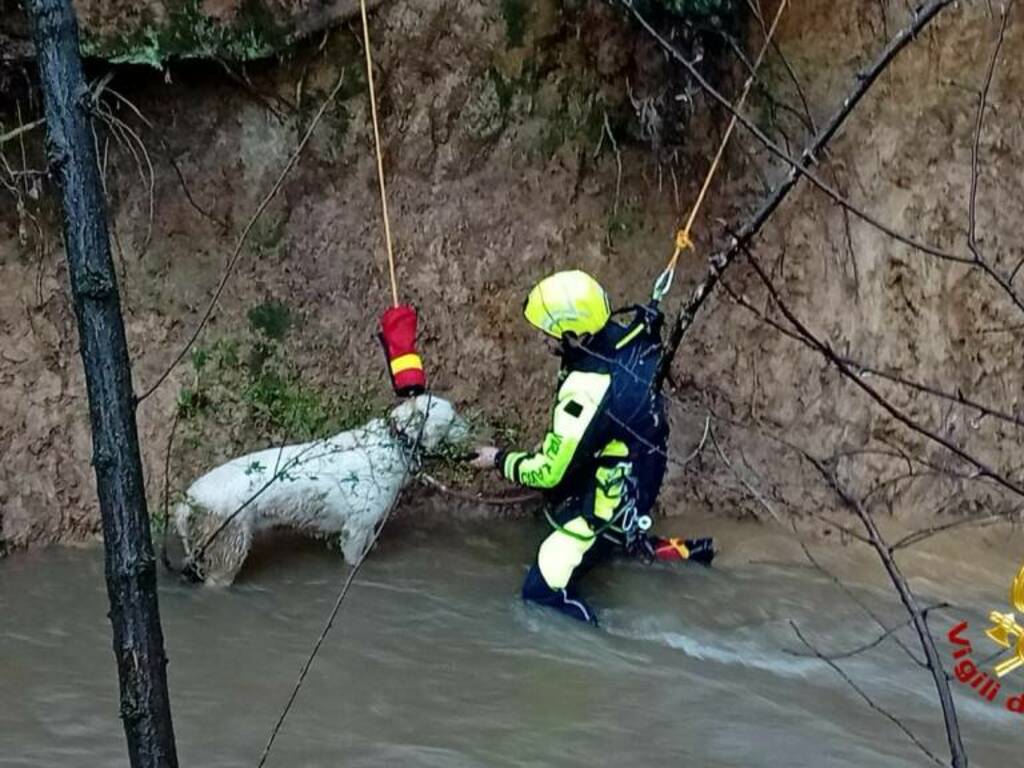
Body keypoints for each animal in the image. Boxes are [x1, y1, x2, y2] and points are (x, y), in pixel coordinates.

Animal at [172, 393, 468, 585]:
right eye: (453, 418)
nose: (472, 426)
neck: (396, 441)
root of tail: (189, 500)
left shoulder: (369, 527)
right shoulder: (355, 530)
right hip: (228, 542)